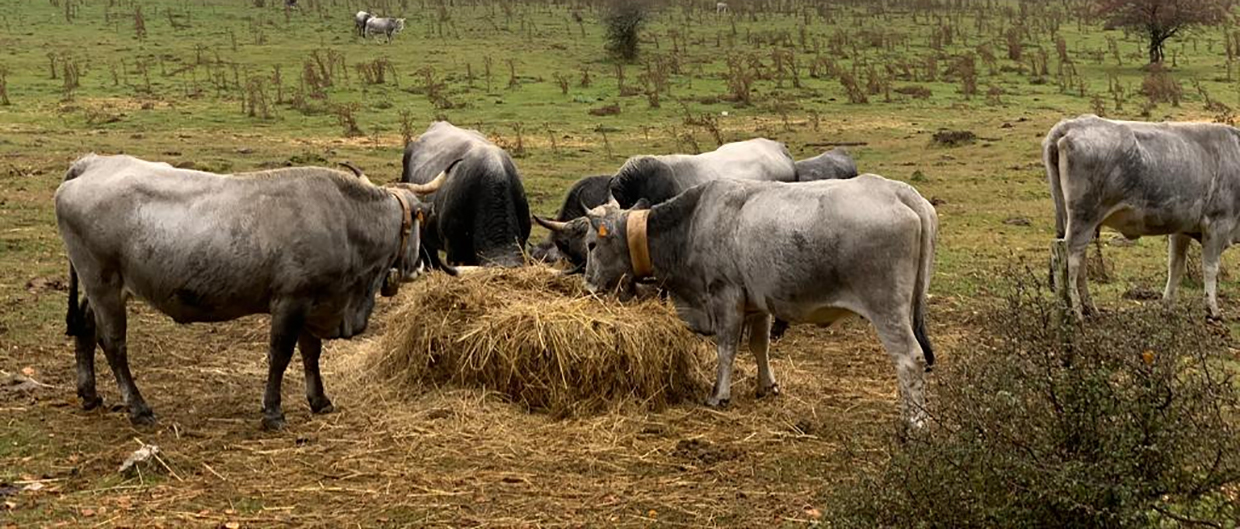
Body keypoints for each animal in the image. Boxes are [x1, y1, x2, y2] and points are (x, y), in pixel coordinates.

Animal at [58, 154, 448, 431]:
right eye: (422, 220)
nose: (418, 267)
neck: (344, 219)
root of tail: (91, 164)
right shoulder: (291, 301)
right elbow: (281, 355)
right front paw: (273, 411)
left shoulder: (314, 301)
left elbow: (311, 353)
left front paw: (319, 399)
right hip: (104, 284)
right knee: (113, 343)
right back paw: (138, 407)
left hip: (99, 288)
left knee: (86, 328)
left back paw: (89, 393)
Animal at [580, 177, 937, 426]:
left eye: (591, 245)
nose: (588, 286)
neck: (693, 223)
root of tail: (900, 192)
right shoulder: (758, 303)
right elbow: (759, 346)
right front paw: (767, 385)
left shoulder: (725, 296)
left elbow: (726, 348)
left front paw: (719, 395)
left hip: (886, 309)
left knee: (910, 359)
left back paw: (914, 423)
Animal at [1046, 115, 1240, 322]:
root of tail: (1071, 124)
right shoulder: (1217, 224)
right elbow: (1210, 268)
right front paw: (1212, 309)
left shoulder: (1181, 229)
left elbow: (1176, 266)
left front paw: (1167, 306)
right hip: (1083, 219)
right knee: (1071, 262)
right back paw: (1076, 312)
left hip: (1079, 221)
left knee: (1079, 262)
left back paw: (1090, 308)